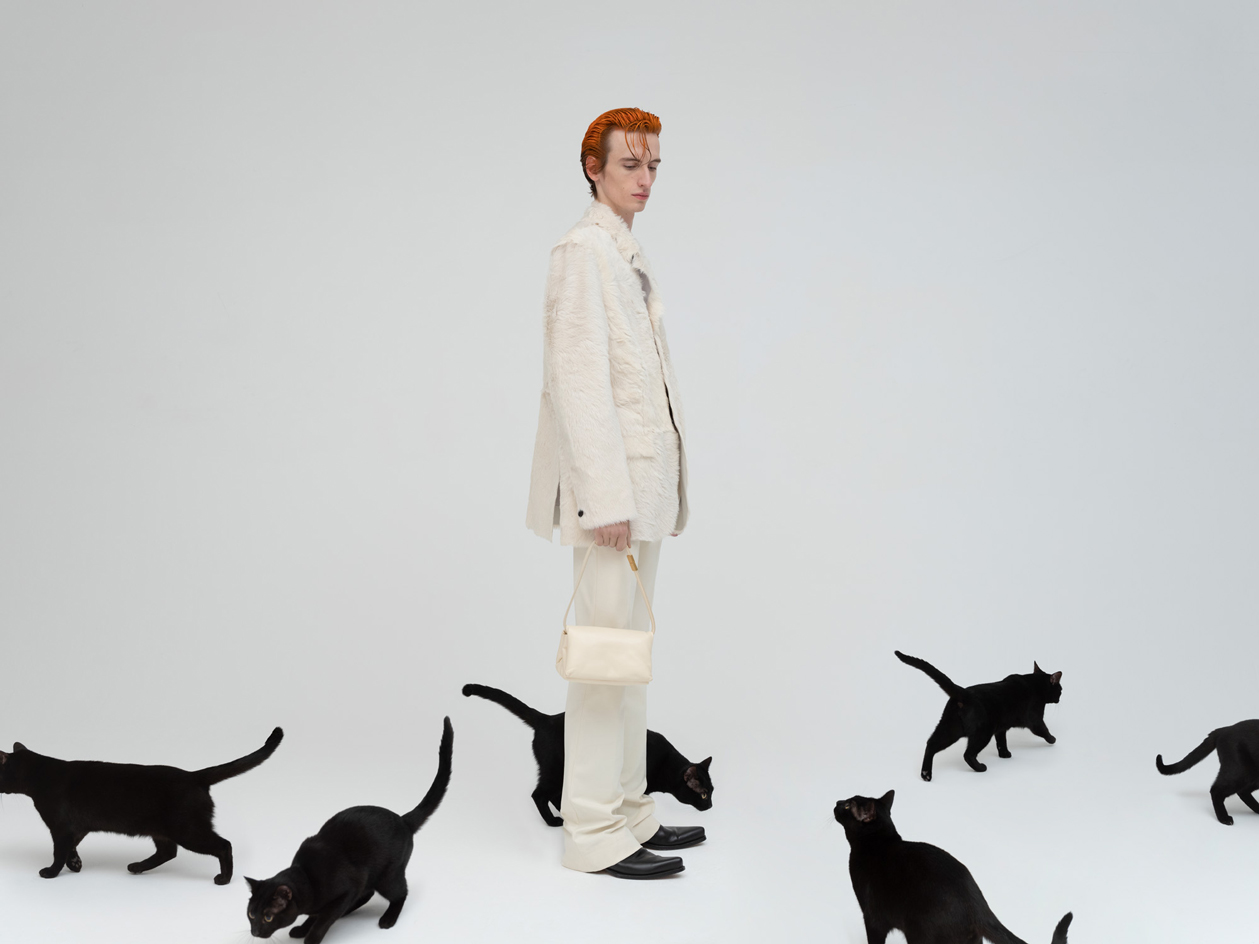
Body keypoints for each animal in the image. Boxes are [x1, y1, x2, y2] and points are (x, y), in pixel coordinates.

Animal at [0, 726, 282, 883]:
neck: (41, 774)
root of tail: (194, 776)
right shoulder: (76, 828)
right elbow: (71, 848)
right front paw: (75, 864)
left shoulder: (60, 828)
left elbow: (58, 852)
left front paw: (51, 872)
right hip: (163, 830)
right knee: (168, 852)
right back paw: (137, 867)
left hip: (188, 830)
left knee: (223, 845)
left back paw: (224, 879)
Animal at [245, 717, 452, 944]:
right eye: (251, 914)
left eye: (268, 917)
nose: (255, 932)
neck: (308, 878)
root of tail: (403, 819)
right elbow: (317, 915)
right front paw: (302, 929)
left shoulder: (347, 889)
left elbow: (322, 920)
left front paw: (310, 938)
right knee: (367, 894)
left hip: (387, 876)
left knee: (400, 893)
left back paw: (387, 919)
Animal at [461, 683, 712, 826]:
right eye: (703, 795)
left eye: (711, 792)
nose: (710, 807)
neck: (666, 763)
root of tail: (546, 719)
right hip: (554, 770)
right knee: (539, 794)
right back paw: (553, 822)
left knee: (555, 795)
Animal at [835, 790, 1073, 944]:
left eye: (847, 805)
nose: (837, 802)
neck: (880, 843)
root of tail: (979, 905)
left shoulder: (872, 918)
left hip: (920, 935)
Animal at [895, 651, 1062, 780]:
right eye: (1060, 689)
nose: (1061, 697)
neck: (1034, 683)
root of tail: (963, 693)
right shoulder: (1035, 720)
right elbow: (1044, 730)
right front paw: (1053, 739)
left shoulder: (1001, 728)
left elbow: (1001, 741)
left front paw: (1005, 754)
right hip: (982, 733)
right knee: (967, 754)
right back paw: (980, 768)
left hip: (950, 729)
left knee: (931, 743)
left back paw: (926, 774)